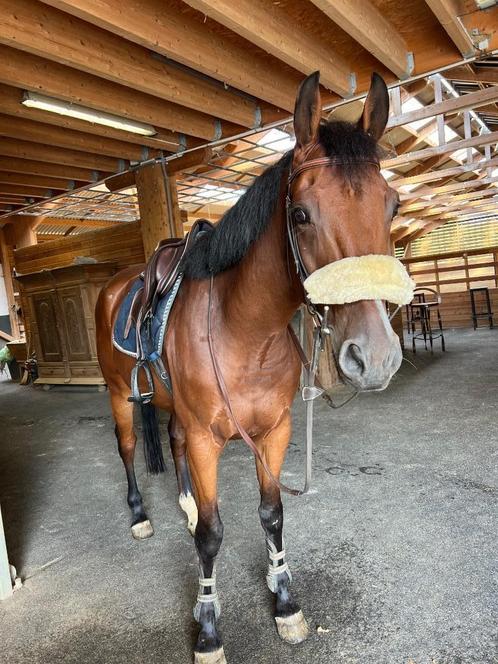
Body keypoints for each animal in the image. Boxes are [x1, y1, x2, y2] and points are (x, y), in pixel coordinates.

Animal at [96, 72, 404, 664]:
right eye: (301, 214)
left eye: (393, 206)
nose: (374, 356)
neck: (245, 331)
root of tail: (116, 283)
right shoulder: (207, 438)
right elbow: (213, 536)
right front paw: (208, 628)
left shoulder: (274, 430)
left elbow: (272, 513)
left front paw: (284, 601)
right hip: (119, 394)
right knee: (127, 448)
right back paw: (141, 515)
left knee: (171, 439)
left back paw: (186, 503)